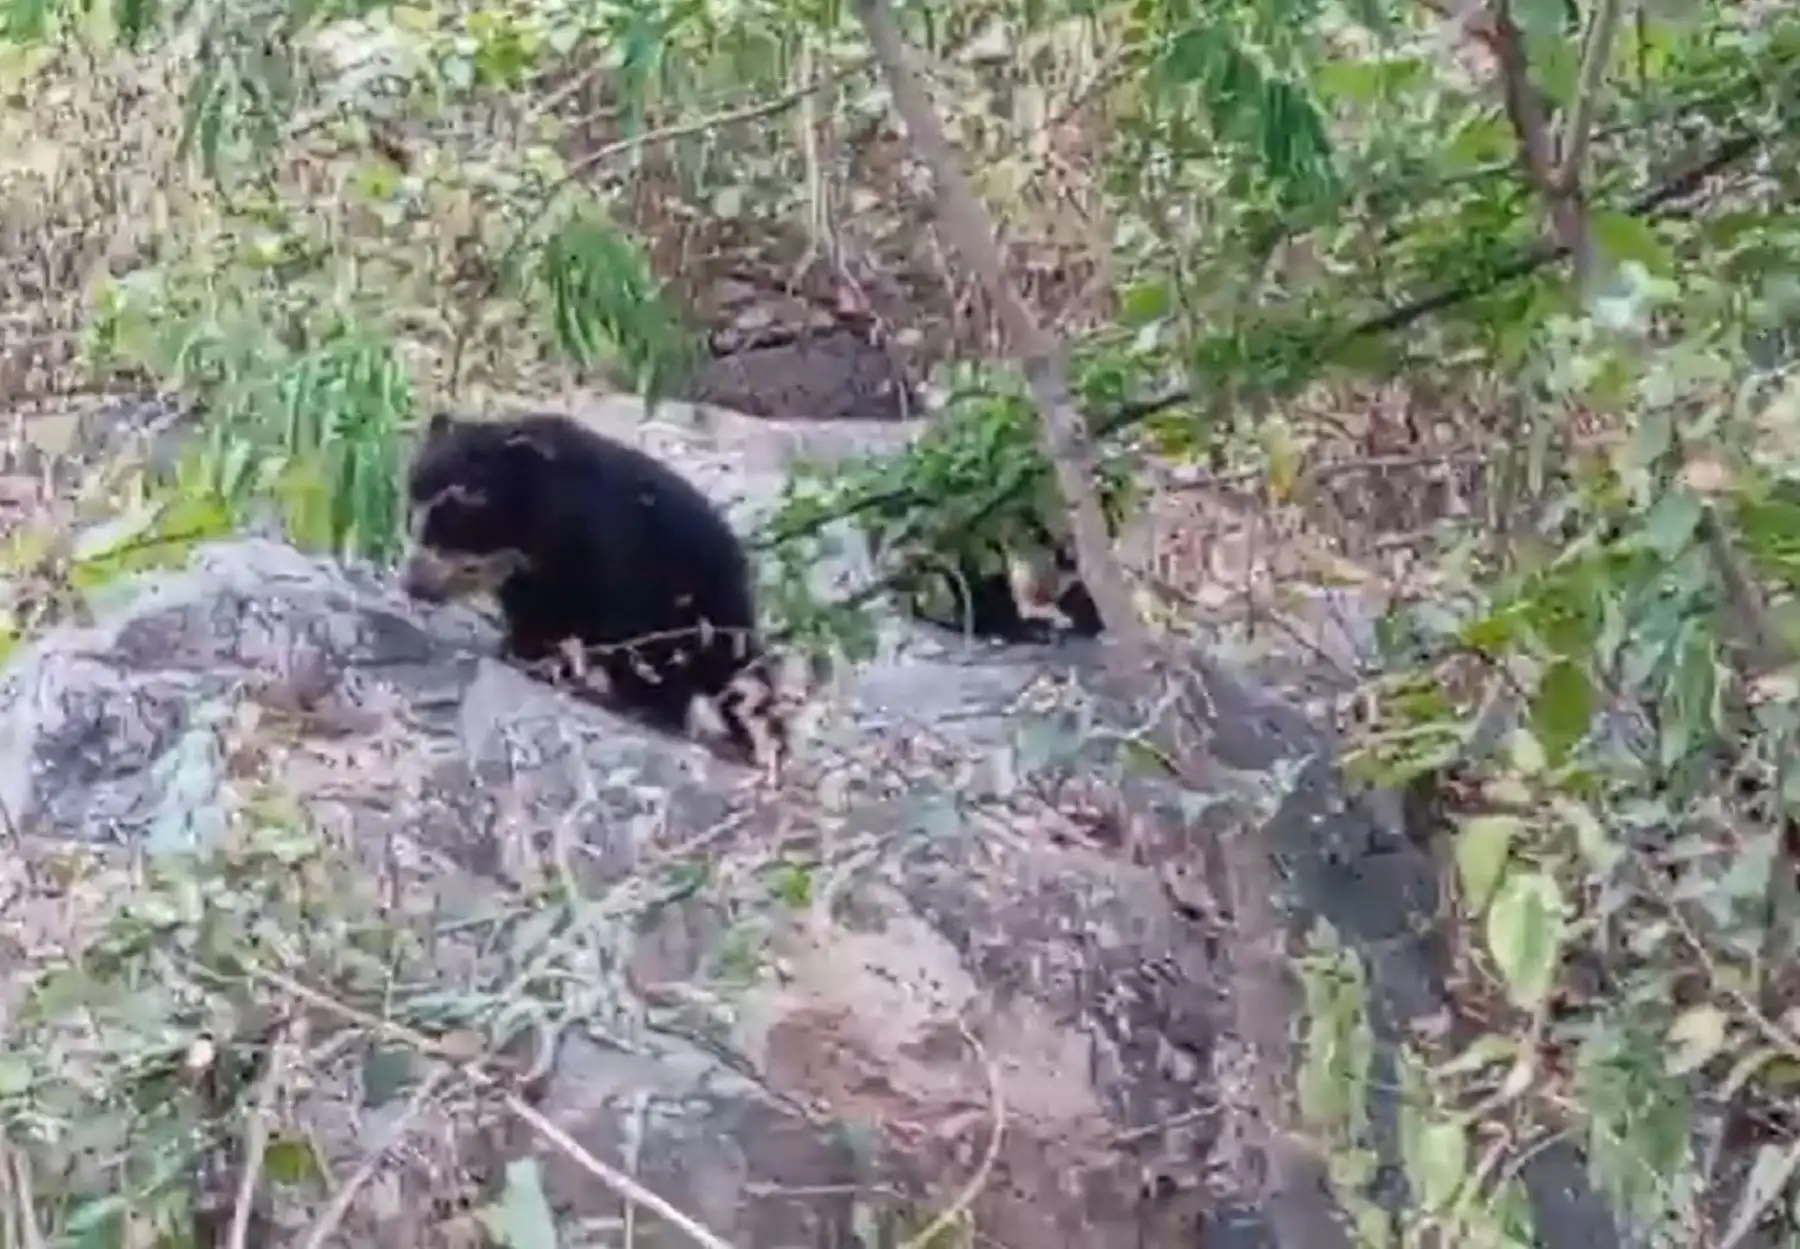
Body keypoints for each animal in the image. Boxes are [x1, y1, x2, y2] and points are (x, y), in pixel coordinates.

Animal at [397, 409, 790, 768]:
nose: (412, 585)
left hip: (695, 610)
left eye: (451, 527)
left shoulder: (603, 557)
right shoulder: (534, 576)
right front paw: (520, 651)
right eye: (413, 516)